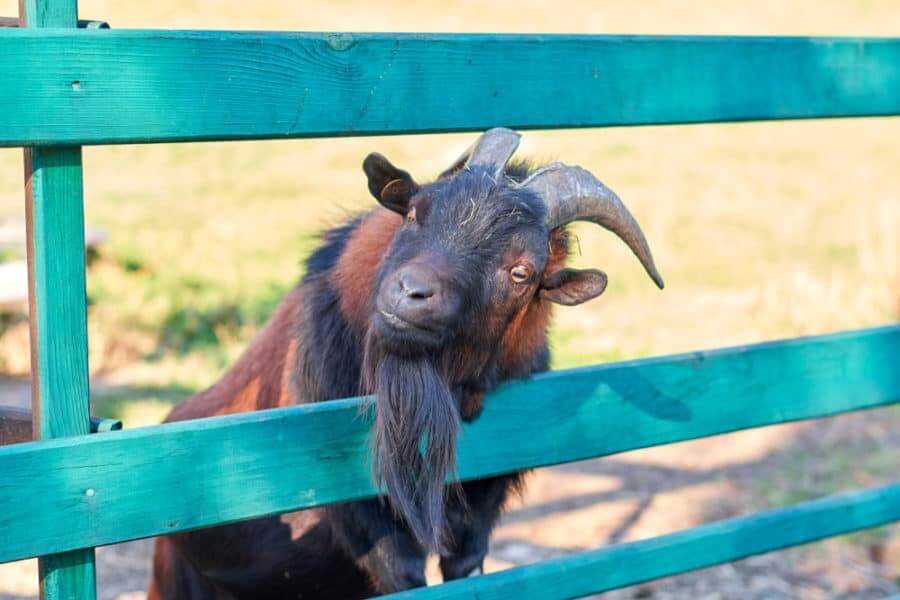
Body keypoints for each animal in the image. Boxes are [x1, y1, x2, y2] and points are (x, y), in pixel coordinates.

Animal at [149, 129, 660, 596]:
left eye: (521, 272)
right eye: (416, 211)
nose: (412, 292)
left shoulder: (483, 495)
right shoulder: (359, 505)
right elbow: (404, 573)